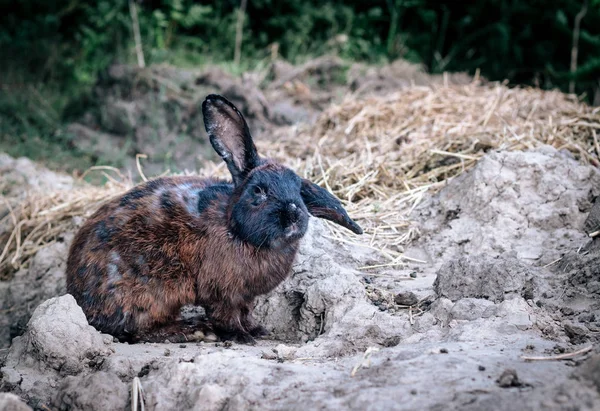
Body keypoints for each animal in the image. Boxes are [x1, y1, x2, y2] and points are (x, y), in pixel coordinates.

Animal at [68, 93, 364, 344]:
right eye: (258, 191)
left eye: (299, 190)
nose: (293, 214)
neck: (236, 229)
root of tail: (80, 300)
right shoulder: (222, 293)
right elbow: (227, 315)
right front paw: (242, 337)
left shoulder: (245, 297)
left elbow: (245, 312)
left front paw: (257, 330)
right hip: (151, 293)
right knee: (139, 329)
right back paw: (194, 330)